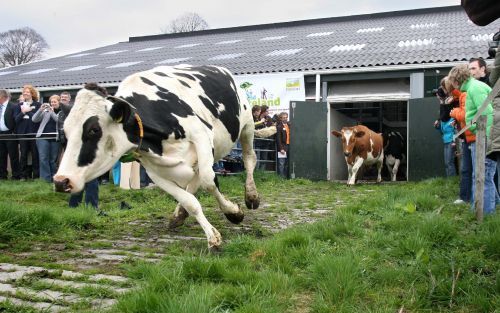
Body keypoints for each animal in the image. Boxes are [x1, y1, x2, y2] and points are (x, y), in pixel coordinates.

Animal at [53, 64, 270, 250]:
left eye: (94, 130)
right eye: (65, 130)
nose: (61, 181)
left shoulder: (201, 136)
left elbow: (209, 181)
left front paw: (233, 213)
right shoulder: (153, 169)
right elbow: (190, 200)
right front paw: (212, 236)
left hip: (247, 126)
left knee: (249, 159)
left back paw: (251, 196)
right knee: (195, 180)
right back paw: (179, 214)